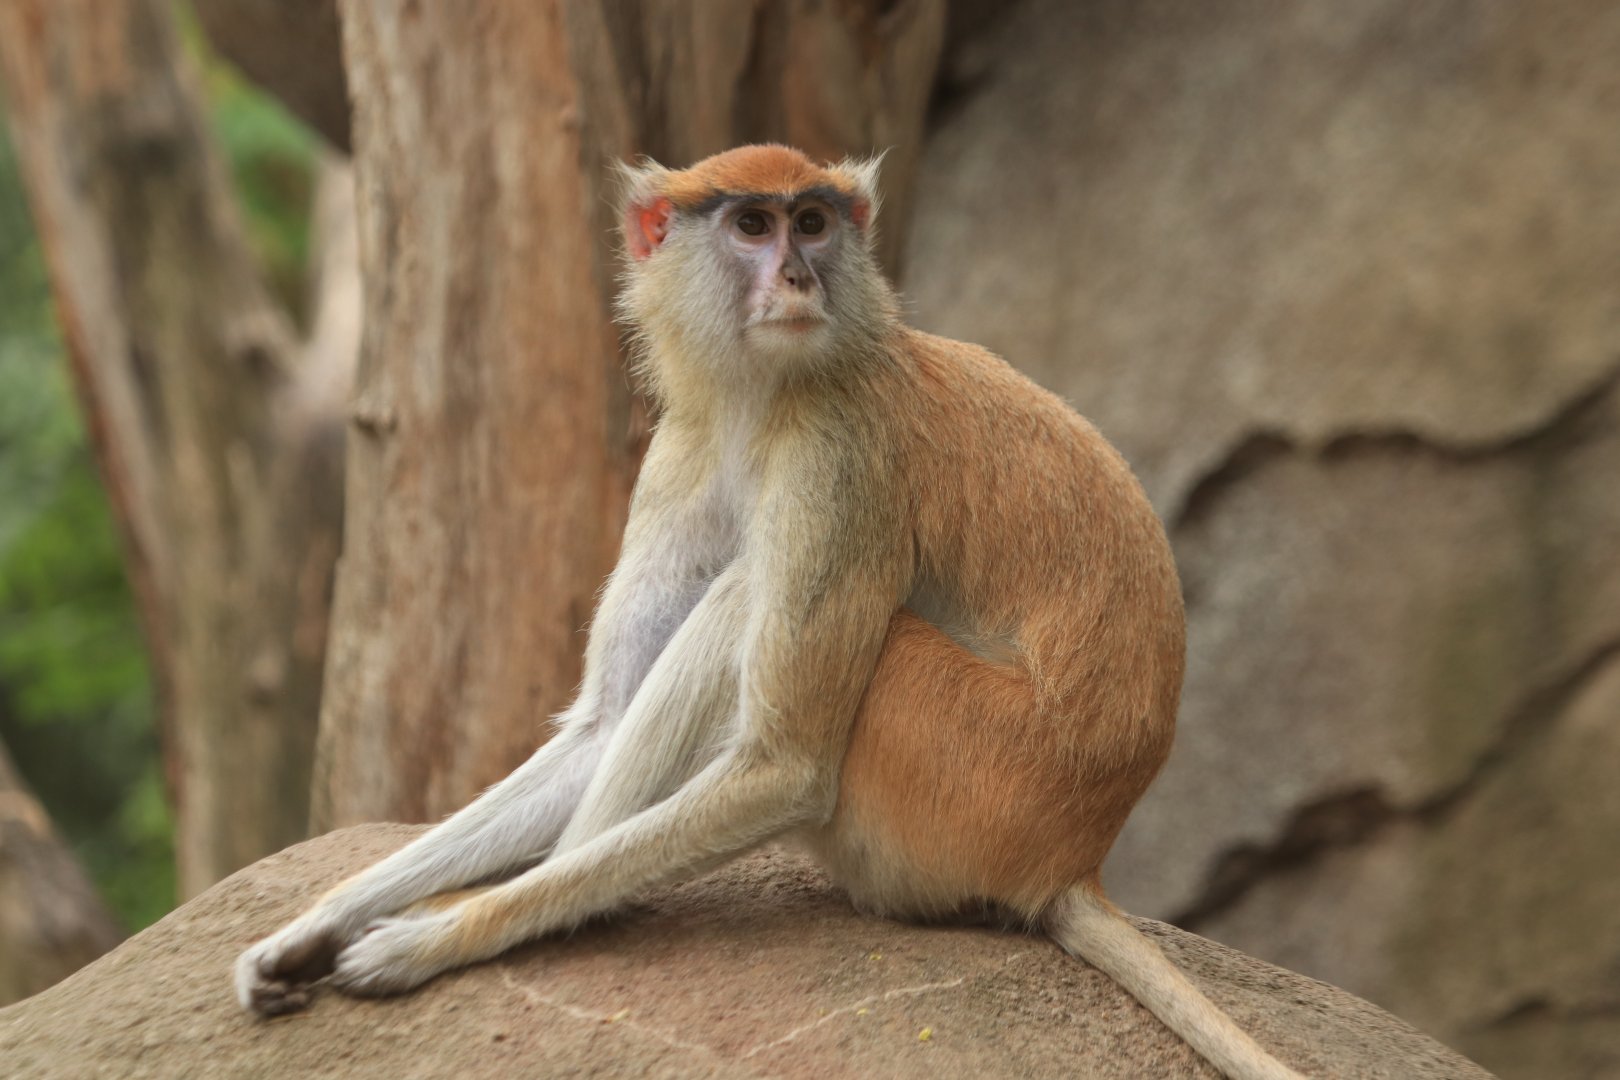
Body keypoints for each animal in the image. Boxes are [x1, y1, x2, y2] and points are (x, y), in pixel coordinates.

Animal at [235, 145, 1301, 1080]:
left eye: (814, 222)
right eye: (752, 224)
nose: (796, 276)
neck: (766, 397)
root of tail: (1076, 853)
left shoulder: (843, 462)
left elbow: (784, 769)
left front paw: (435, 937)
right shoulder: (682, 454)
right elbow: (602, 725)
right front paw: (314, 926)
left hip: (970, 770)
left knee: (750, 596)